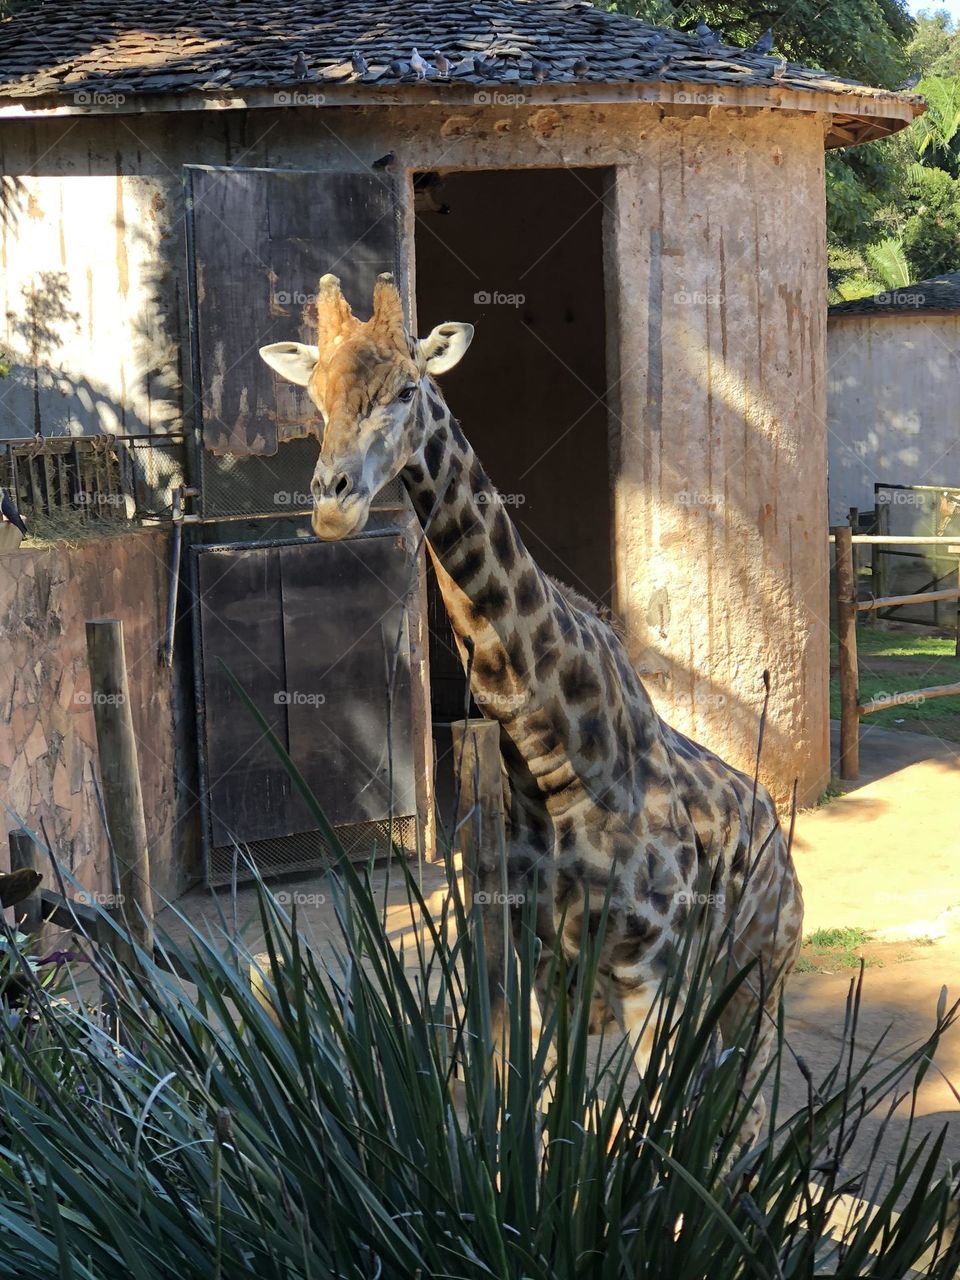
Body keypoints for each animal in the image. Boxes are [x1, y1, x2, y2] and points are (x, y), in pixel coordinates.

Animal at [259, 271, 804, 1143]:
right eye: (313, 394)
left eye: (408, 388)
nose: (332, 505)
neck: (550, 757)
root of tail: (781, 846)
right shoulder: (542, 963)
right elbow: (549, 1122)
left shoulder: (646, 969)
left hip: (755, 976)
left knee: (745, 1119)